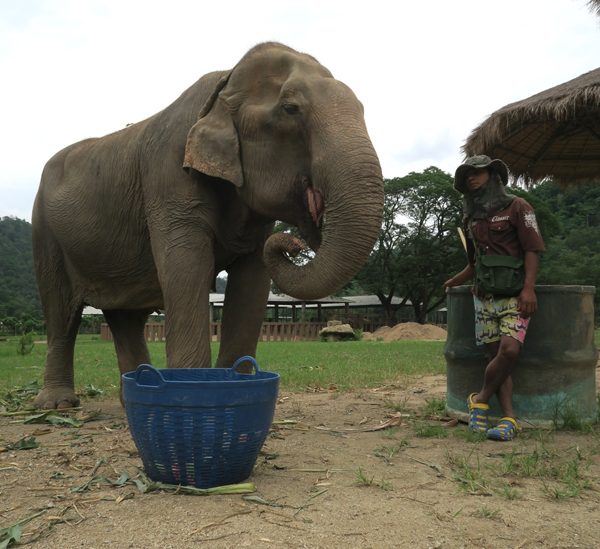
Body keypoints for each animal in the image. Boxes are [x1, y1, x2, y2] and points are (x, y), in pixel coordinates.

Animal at [31, 41, 384, 406]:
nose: (294, 243)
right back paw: (56, 404)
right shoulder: (168, 177)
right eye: (290, 109)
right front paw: (189, 397)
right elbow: (187, 270)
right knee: (61, 312)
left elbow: (251, 282)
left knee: (125, 317)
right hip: (44, 231)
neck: (226, 81)